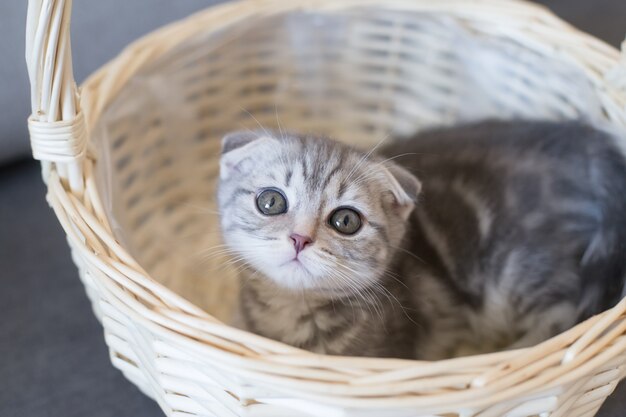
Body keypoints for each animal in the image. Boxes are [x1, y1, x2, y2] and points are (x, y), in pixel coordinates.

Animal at [216, 120, 624, 358]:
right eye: (271, 202)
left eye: (345, 220)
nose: (300, 238)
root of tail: (586, 142)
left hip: (520, 269)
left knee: (559, 320)